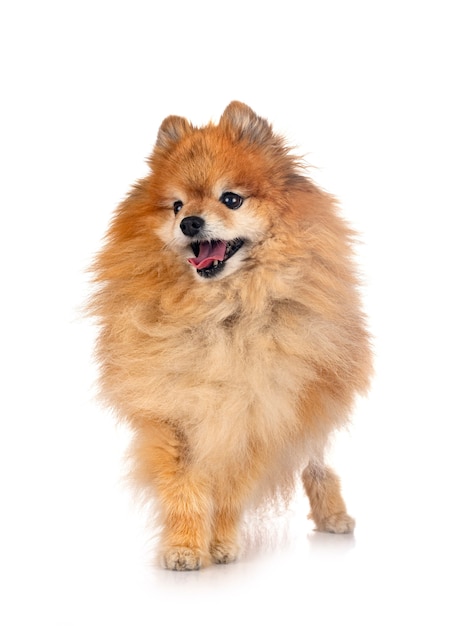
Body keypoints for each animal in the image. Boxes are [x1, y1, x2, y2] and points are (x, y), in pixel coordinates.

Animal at [89, 102, 372, 572]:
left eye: (231, 199)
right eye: (176, 206)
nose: (190, 222)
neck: (219, 315)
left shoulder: (258, 418)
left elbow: (230, 494)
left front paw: (221, 544)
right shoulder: (173, 418)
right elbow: (183, 490)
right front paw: (184, 547)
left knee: (315, 461)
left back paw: (334, 516)